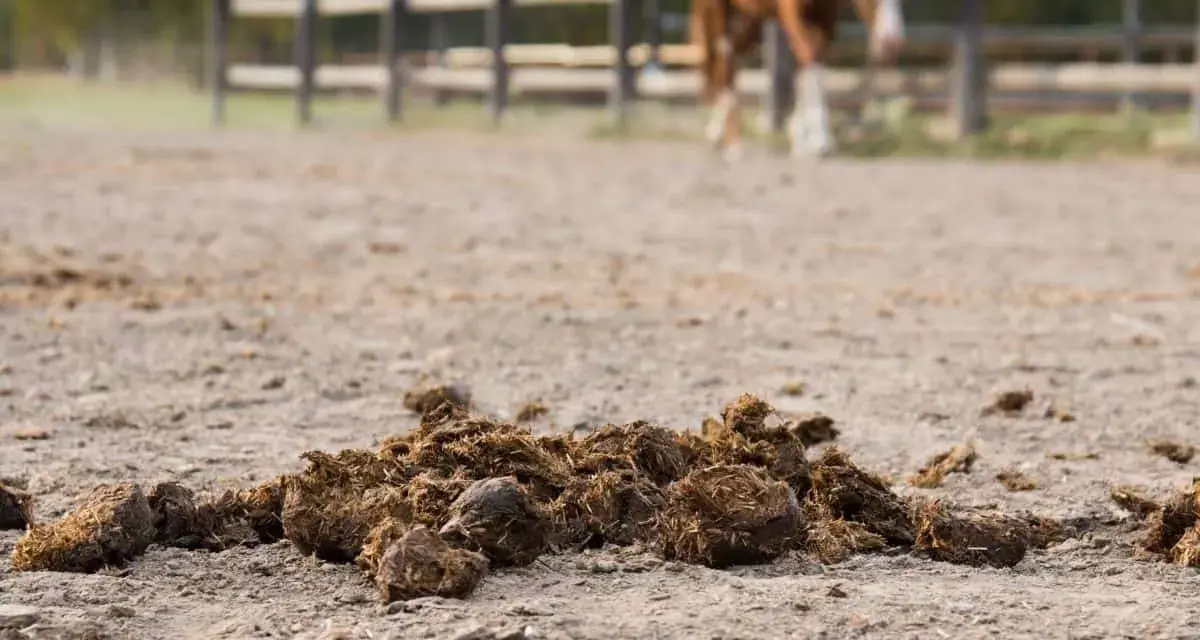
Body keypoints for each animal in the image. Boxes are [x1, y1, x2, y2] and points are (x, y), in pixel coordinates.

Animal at [690, 0, 906, 158]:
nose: (892, 40)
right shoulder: (792, 14)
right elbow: (809, 61)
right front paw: (819, 142)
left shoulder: (825, 18)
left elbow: (808, 69)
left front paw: (801, 138)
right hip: (718, 8)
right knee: (724, 55)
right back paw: (735, 145)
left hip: (752, 15)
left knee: (732, 54)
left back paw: (716, 131)